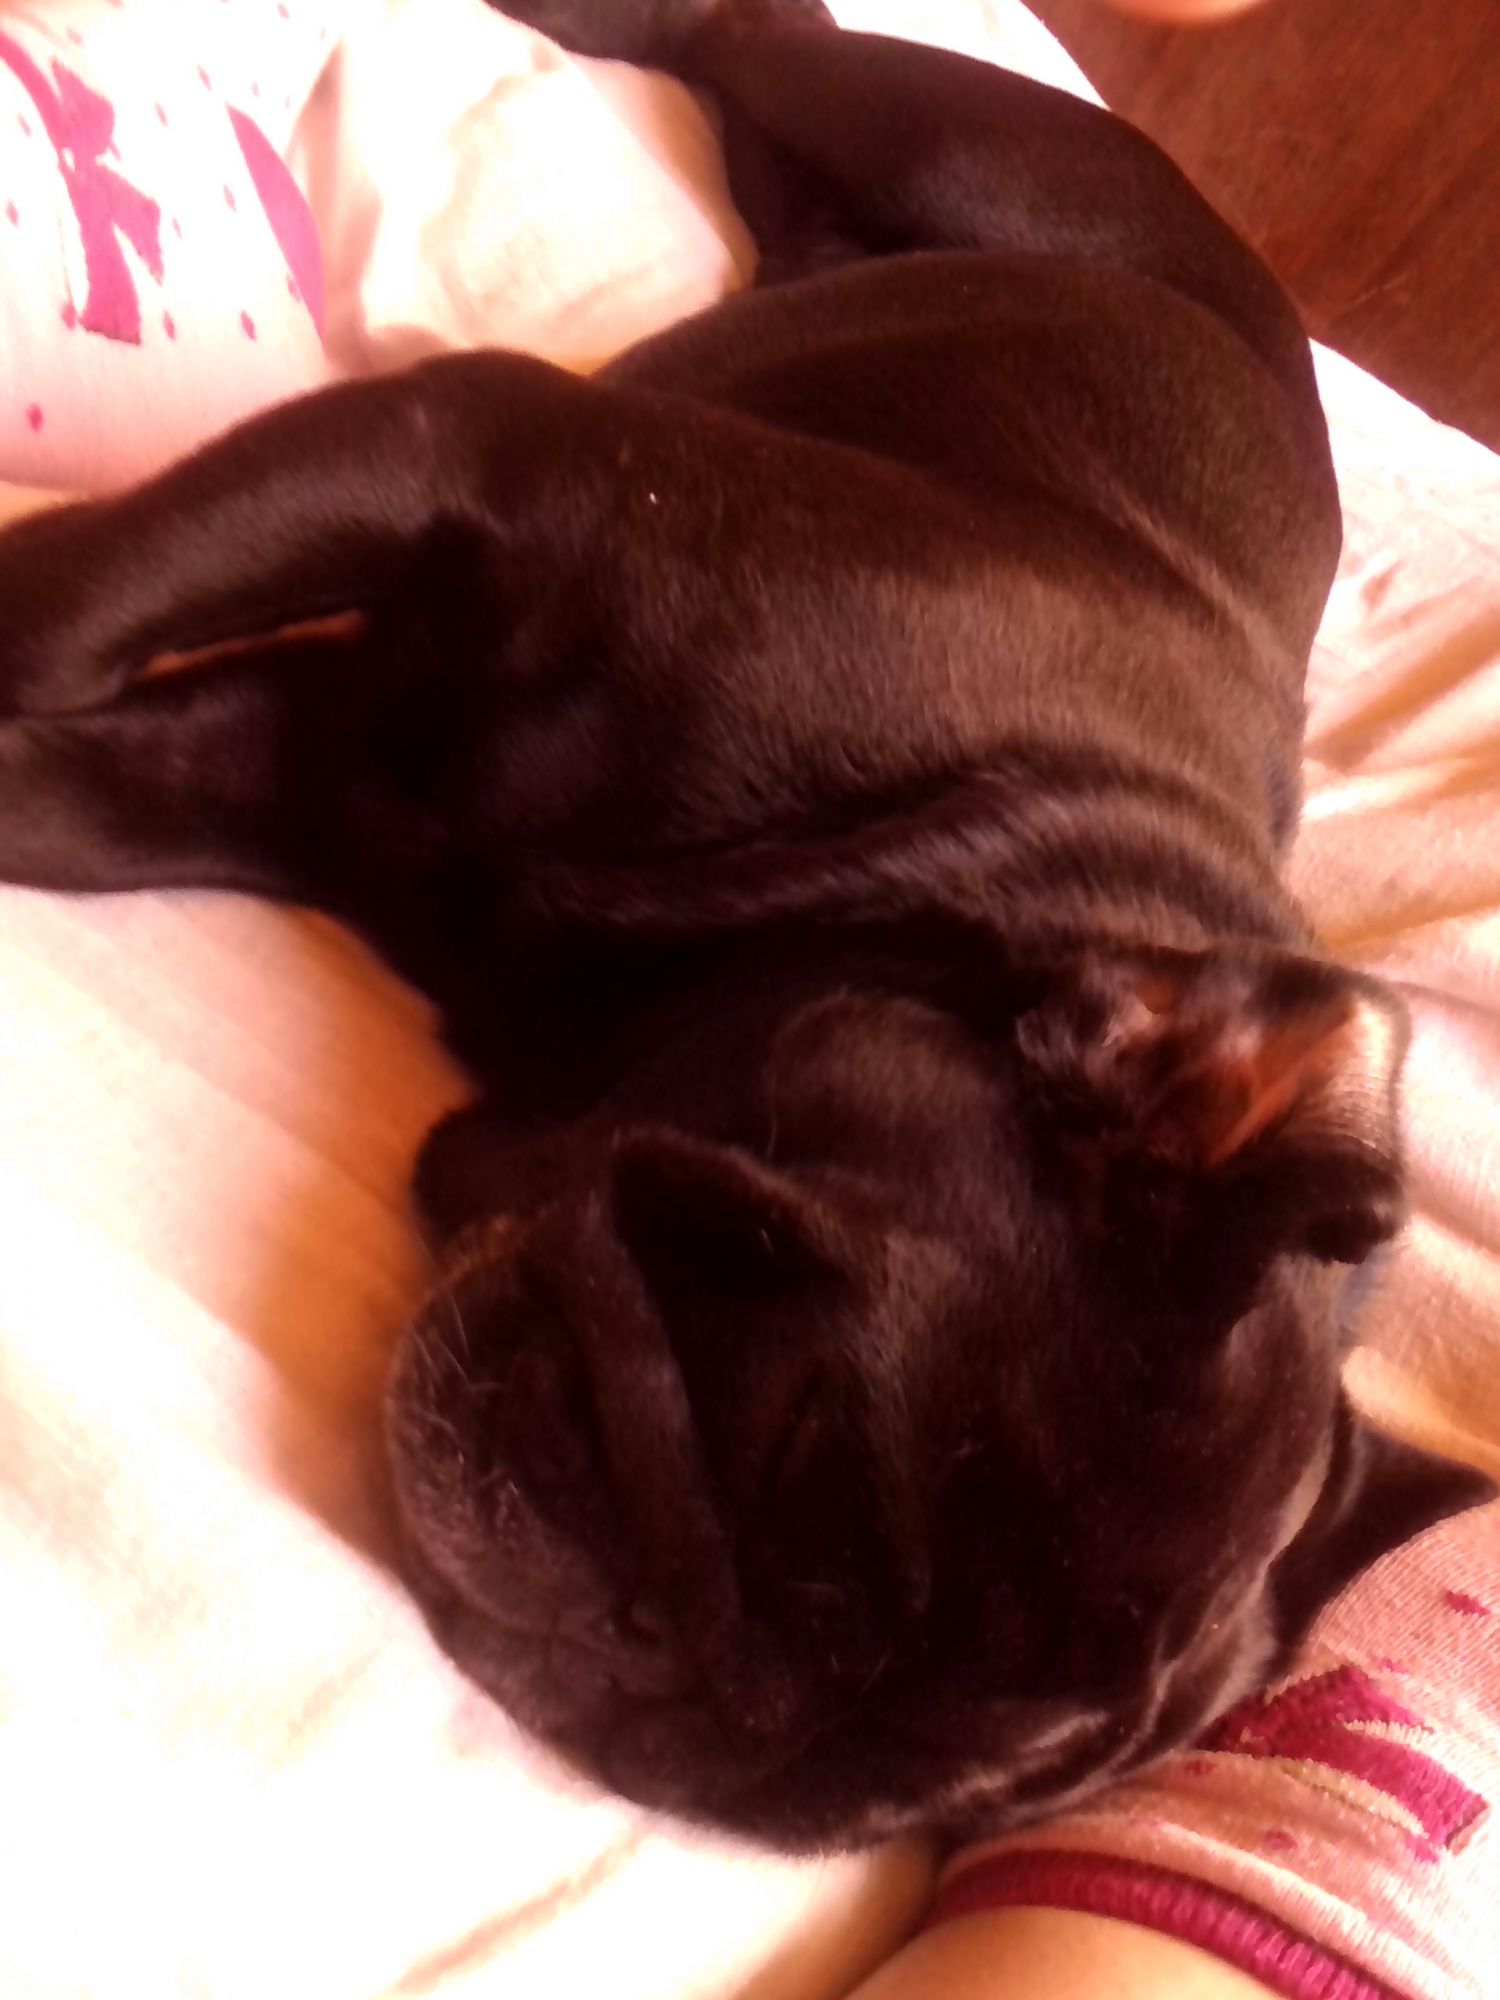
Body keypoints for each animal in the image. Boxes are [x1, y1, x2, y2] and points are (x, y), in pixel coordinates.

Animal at [0, 0, 1490, 1854]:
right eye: (805, 1443)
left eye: (853, 1815)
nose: (675, 1670)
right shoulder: (481, 452)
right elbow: (66, 610)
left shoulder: (308, 769)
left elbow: (83, 779)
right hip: (941, 138)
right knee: (760, 31)